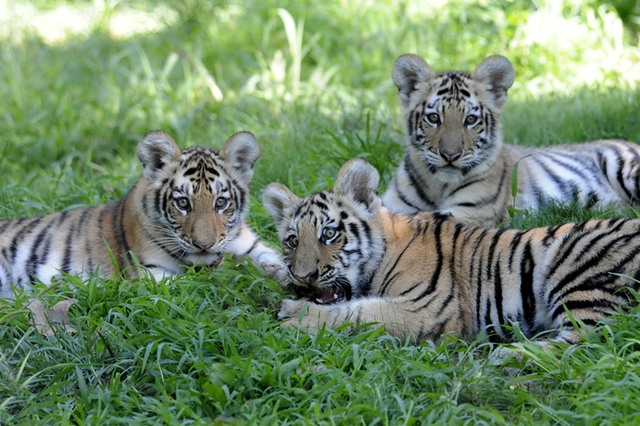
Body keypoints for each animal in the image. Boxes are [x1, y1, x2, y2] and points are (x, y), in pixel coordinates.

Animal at [0, 131, 284, 300]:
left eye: (221, 202)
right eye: (183, 203)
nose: (204, 245)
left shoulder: (253, 247)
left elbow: (275, 262)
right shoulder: (149, 273)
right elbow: (203, 280)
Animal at [262, 160, 640, 350]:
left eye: (329, 233)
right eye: (292, 241)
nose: (304, 276)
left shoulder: (427, 307)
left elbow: (360, 313)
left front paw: (296, 315)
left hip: (575, 263)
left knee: (584, 342)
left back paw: (502, 356)